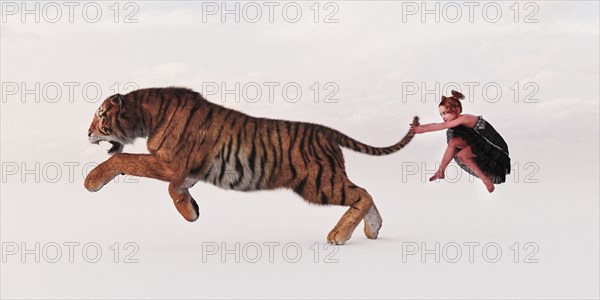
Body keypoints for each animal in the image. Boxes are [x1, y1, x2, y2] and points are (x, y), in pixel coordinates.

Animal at [85, 87, 418, 246]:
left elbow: (123, 159)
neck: (145, 116)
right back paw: (373, 231)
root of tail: (326, 131)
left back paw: (339, 236)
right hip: (324, 181)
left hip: (318, 183)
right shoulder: (186, 171)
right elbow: (174, 189)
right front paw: (190, 211)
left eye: (100, 115)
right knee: (366, 194)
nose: (87, 133)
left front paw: (91, 181)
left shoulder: (171, 163)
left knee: (362, 194)